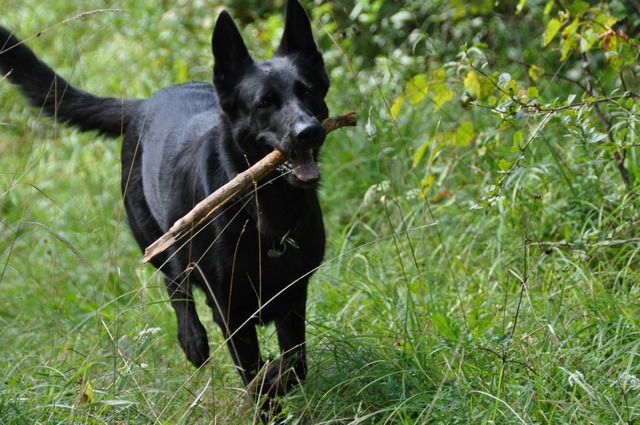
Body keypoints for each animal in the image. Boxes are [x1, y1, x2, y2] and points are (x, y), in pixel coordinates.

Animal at [0, 0, 328, 408]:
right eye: (265, 103)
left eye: (309, 91)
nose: (309, 132)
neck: (265, 210)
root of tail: (141, 105)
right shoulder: (231, 312)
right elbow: (259, 379)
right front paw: (266, 391)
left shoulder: (293, 296)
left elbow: (295, 365)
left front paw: (275, 377)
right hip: (153, 236)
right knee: (176, 284)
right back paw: (192, 340)